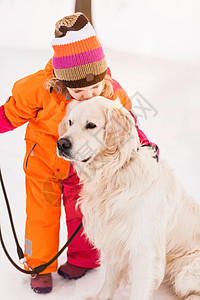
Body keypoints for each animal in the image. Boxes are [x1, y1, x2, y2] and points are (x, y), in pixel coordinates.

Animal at [56, 96, 200, 300]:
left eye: (91, 125)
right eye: (70, 122)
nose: (61, 143)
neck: (114, 173)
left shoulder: (144, 249)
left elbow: (139, 289)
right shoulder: (115, 237)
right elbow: (110, 278)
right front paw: (102, 297)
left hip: (186, 272)